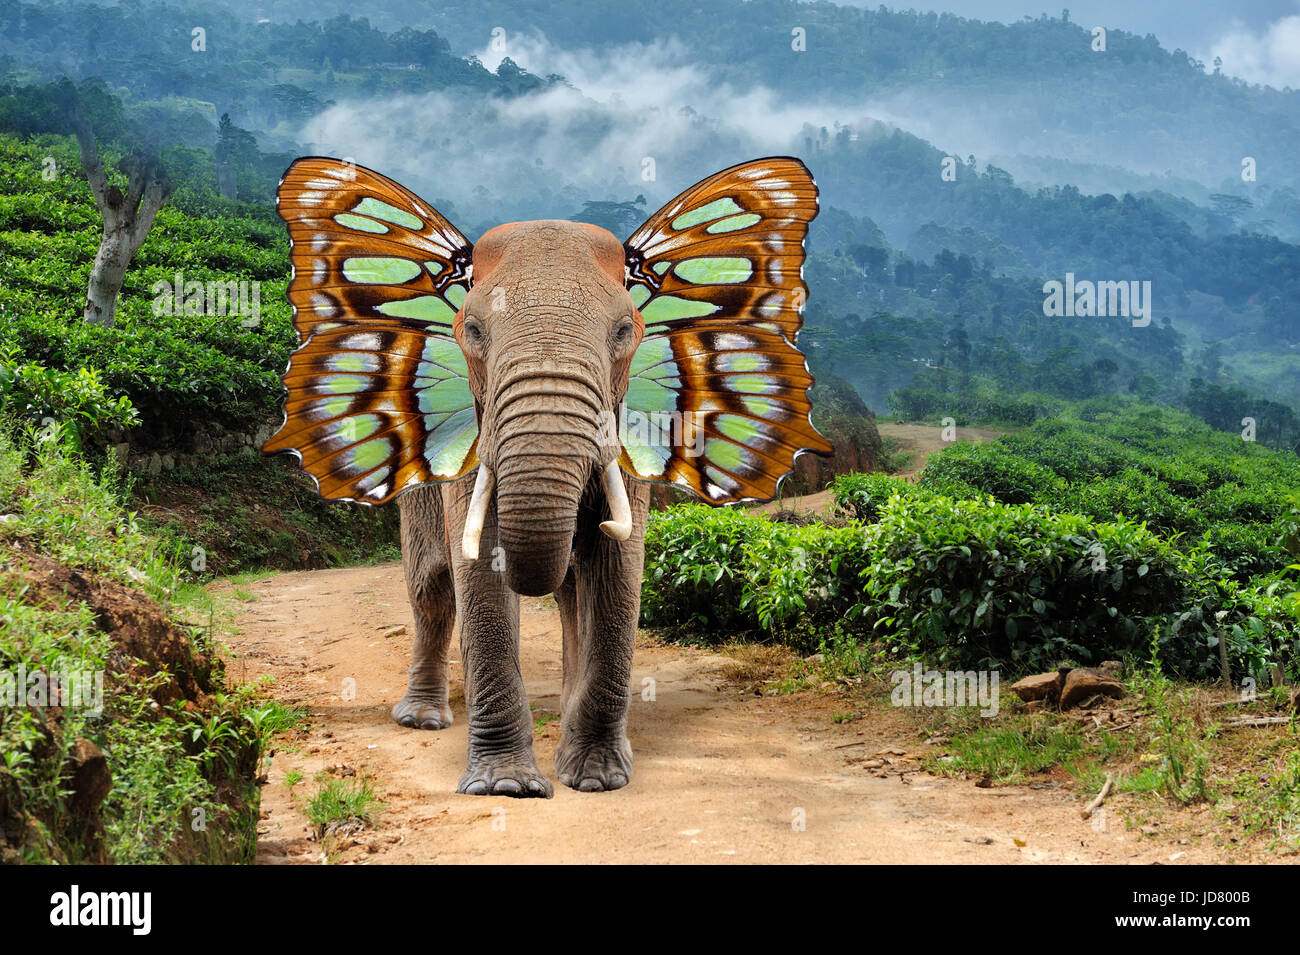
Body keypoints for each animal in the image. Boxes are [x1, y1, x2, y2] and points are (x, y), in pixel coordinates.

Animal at [267, 158, 826, 800]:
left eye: (625, 331)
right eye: (471, 331)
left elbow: (618, 572)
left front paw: (597, 779)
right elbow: (480, 573)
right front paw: (505, 788)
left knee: (567, 592)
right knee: (431, 589)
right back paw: (424, 718)